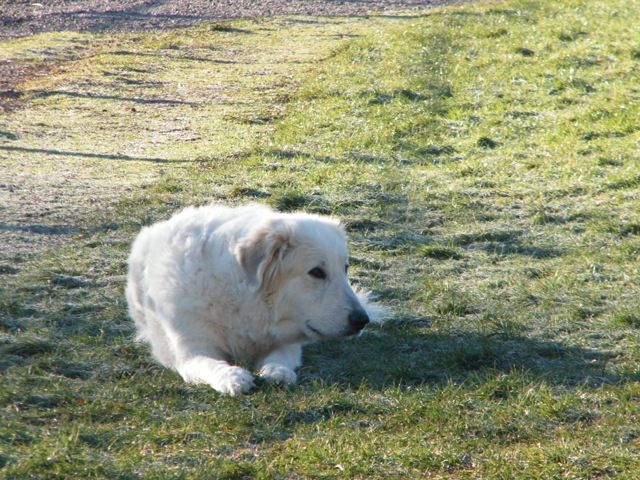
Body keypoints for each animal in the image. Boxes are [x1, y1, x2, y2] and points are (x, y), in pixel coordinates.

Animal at [126, 204, 371, 395]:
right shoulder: (192, 352)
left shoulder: (286, 340)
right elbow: (210, 364)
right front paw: (231, 377)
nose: (362, 321)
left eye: (345, 268)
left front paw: (277, 371)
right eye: (317, 272)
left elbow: (281, 355)